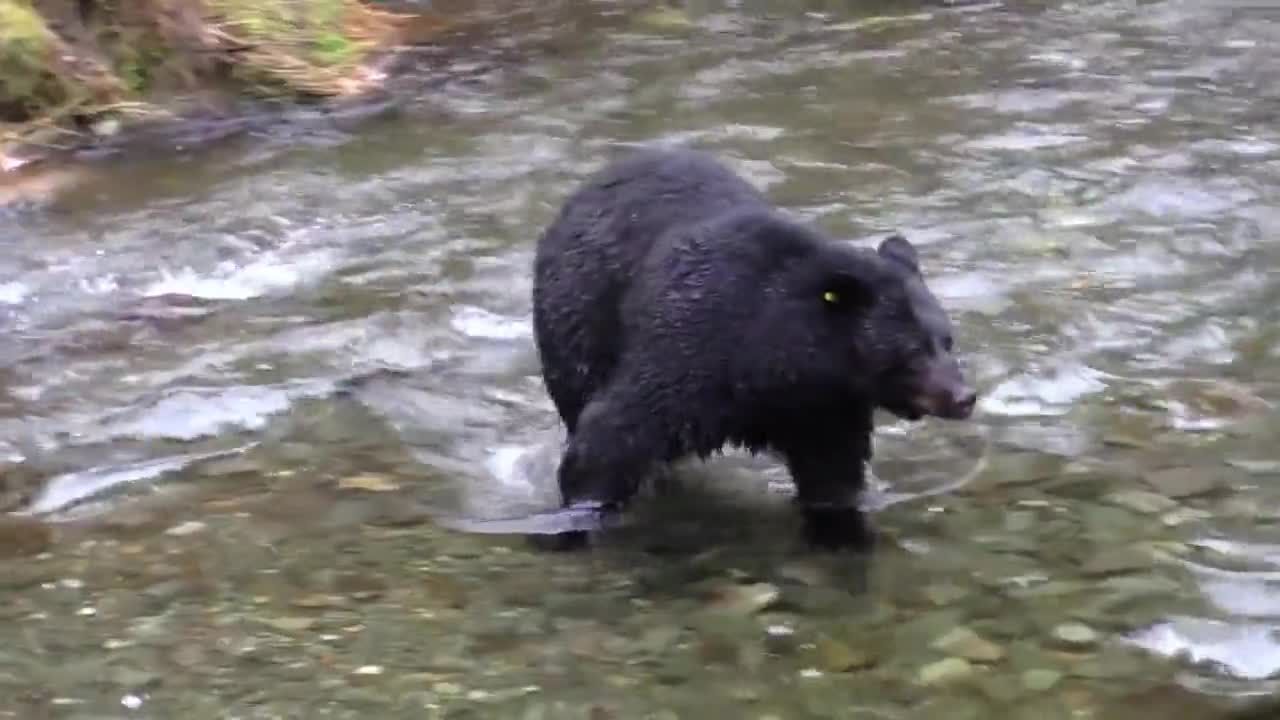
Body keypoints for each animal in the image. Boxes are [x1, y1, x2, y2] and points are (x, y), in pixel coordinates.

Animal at [524, 147, 972, 548]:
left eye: (947, 339)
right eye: (911, 350)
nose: (964, 397)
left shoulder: (825, 411)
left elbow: (833, 474)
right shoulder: (688, 352)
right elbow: (612, 436)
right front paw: (579, 517)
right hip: (576, 329)